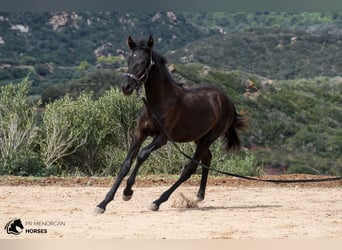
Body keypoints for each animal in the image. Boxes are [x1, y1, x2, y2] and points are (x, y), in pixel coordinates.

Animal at [95, 35, 247, 213]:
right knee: (207, 159)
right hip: (198, 137)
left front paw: (127, 191)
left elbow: (142, 155)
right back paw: (199, 196)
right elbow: (125, 164)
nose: (126, 87)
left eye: (144, 61)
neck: (157, 103)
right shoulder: (139, 133)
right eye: (129, 60)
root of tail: (227, 101)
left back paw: (158, 201)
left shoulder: (162, 138)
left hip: (209, 138)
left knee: (189, 169)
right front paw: (103, 203)